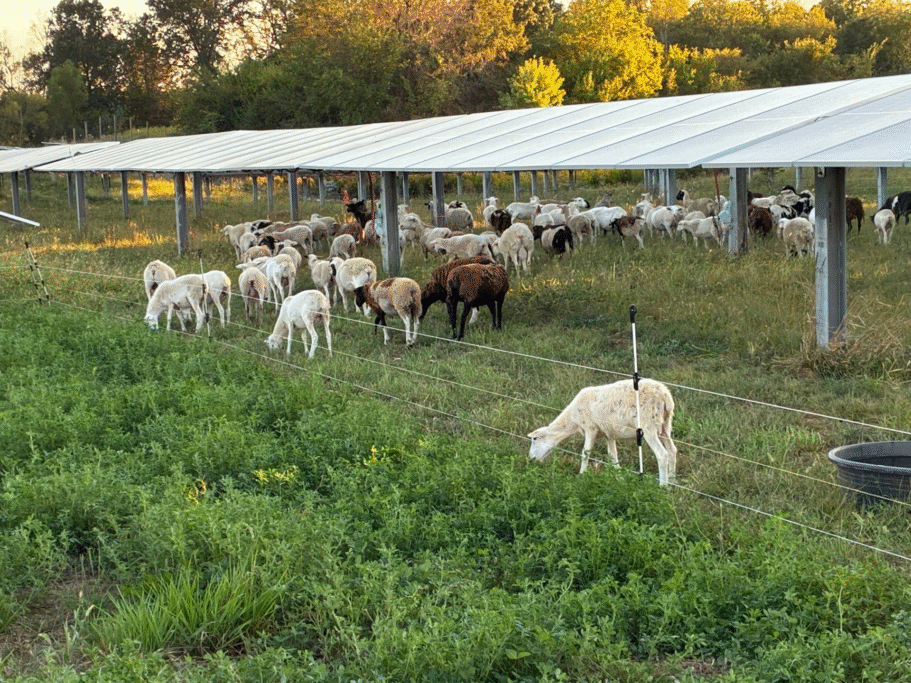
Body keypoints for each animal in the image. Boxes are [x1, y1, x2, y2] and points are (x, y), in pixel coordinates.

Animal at [527, 378, 677, 486]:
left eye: (534, 439)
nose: (531, 459)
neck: (572, 420)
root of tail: (665, 397)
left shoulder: (590, 428)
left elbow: (585, 453)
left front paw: (581, 476)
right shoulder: (608, 434)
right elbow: (613, 457)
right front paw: (620, 478)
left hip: (649, 425)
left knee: (662, 454)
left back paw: (663, 486)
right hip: (665, 425)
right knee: (672, 450)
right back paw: (672, 481)